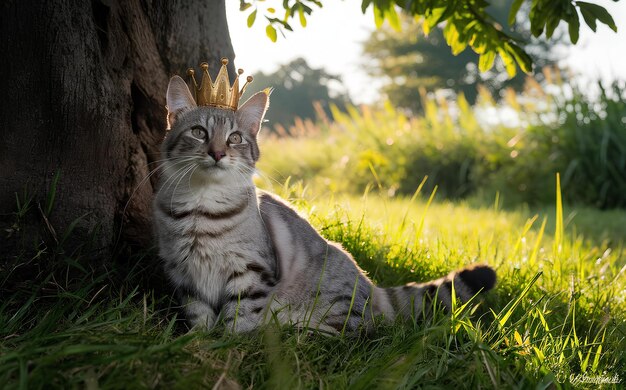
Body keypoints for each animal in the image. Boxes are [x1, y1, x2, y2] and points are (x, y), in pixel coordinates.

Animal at [151, 74, 492, 334]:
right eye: (199, 132)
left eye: (234, 138)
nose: (218, 153)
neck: (201, 208)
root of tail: (375, 289)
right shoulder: (185, 276)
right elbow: (199, 318)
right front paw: (199, 341)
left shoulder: (251, 272)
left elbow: (240, 318)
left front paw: (231, 344)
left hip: (326, 309)